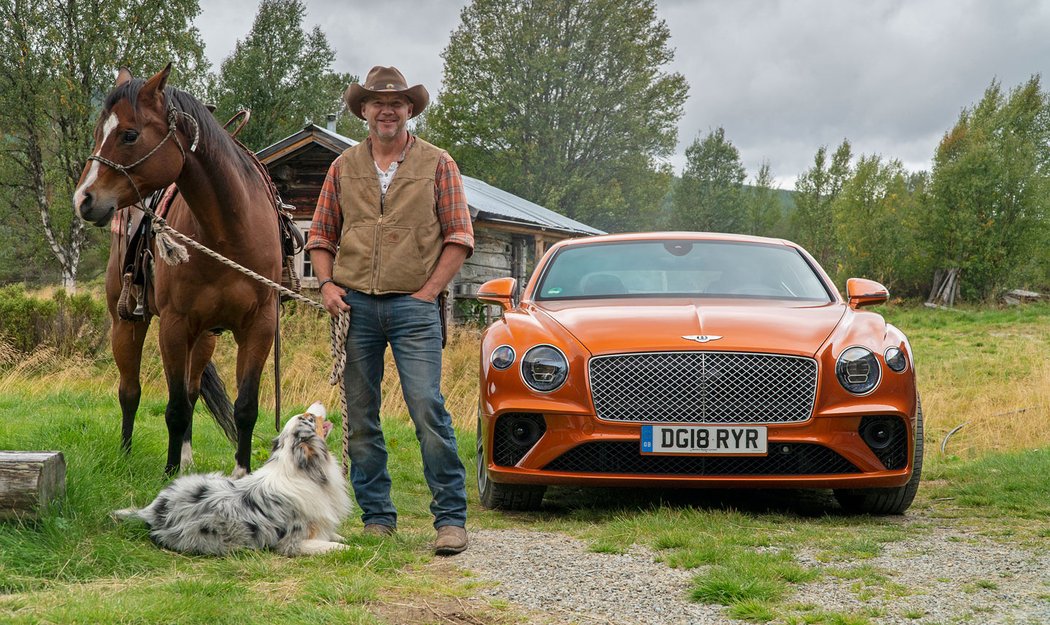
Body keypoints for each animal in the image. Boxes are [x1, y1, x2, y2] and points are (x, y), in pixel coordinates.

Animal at [71, 64, 281, 474]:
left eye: (130, 134)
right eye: (98, 133)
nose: (83, 200)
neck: (229, 233)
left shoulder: (260, 326)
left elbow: (245, 408)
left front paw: (242, 472)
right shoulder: (173, 325)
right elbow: (175, 409)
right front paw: (169, 476)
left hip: (205, 339)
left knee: (194, 390)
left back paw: (185, 456)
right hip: (127, 323)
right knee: (130, 391)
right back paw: (126, 455)